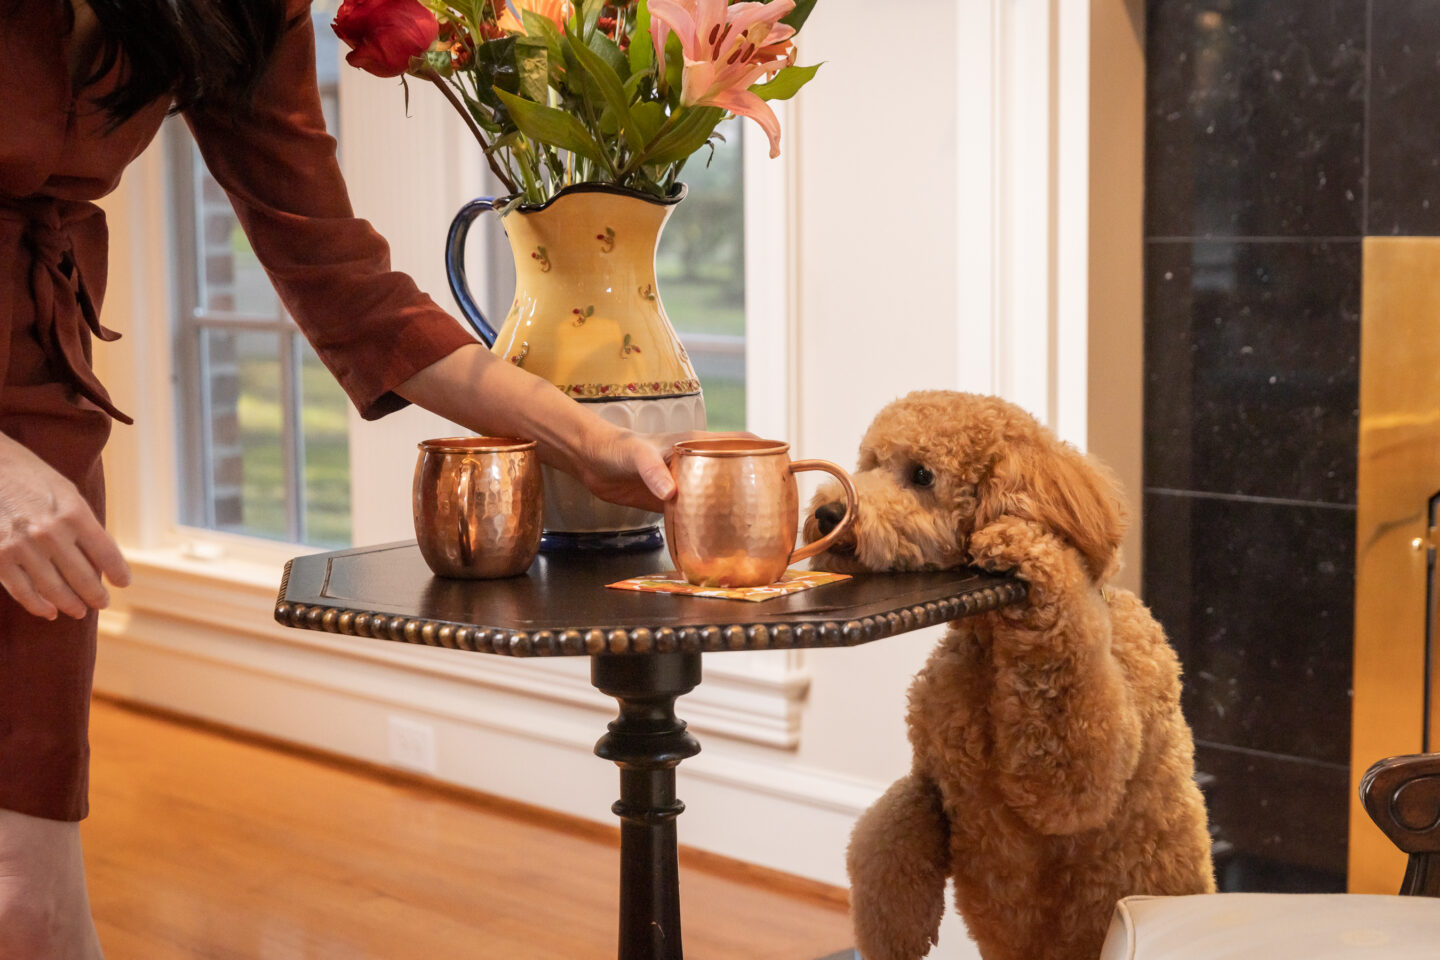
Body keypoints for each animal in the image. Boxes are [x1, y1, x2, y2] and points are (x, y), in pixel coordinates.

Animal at [806, 391, 1209, 960]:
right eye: (869, 464)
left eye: (922, 475)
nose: (827, 513)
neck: (990, 650)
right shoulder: (932, 780)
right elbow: (885, 835)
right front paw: (891, 936)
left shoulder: (1078, 776)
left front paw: (1022, 546)